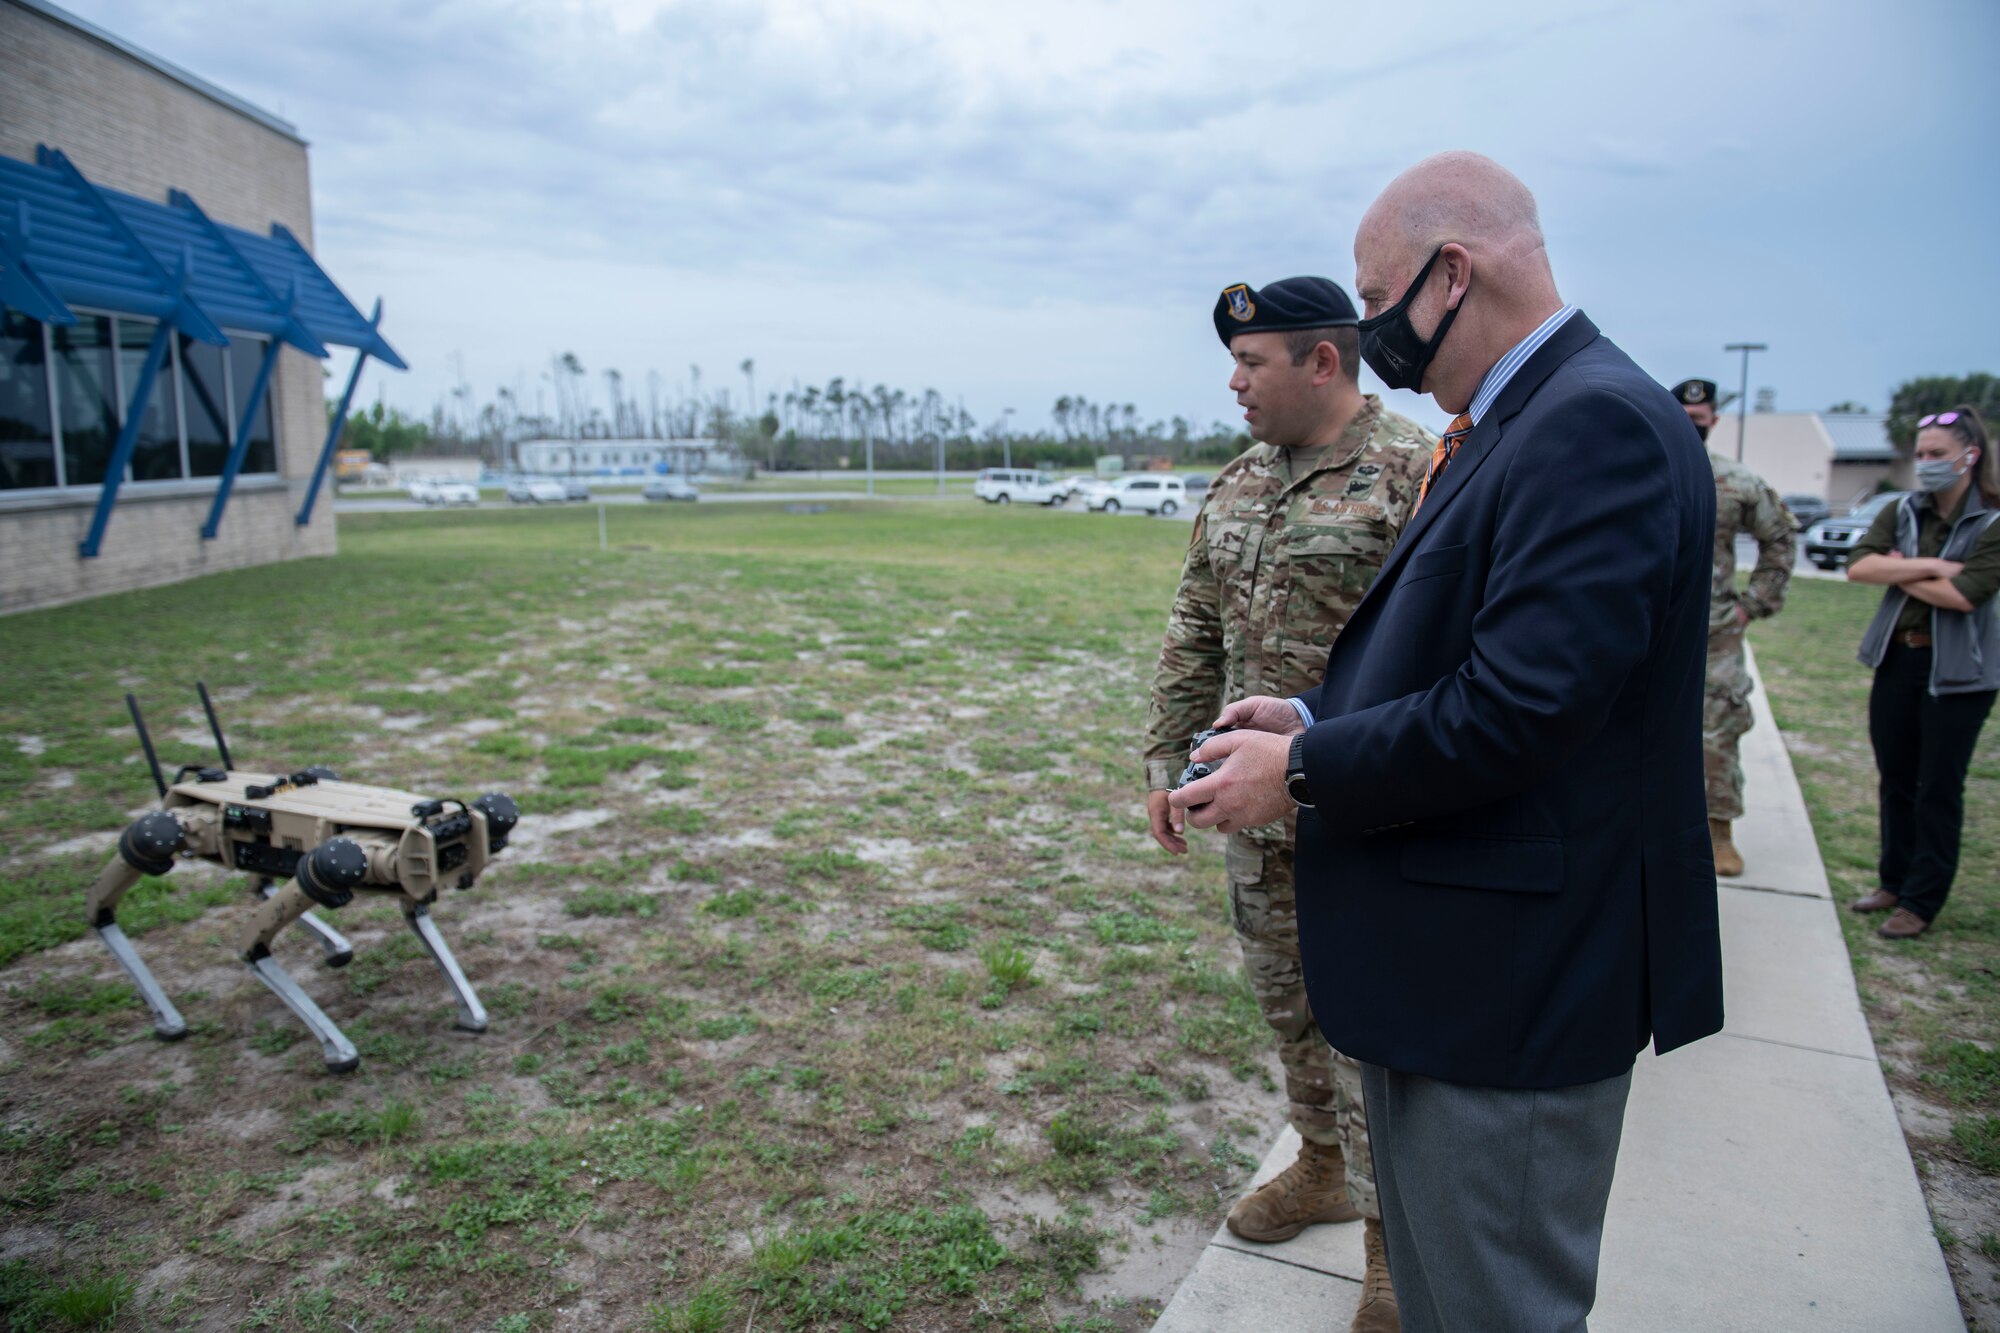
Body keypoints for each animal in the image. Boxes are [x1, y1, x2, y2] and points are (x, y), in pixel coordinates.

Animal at [89, 684, 520, 1072]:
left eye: (500, 815)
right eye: (340, 860)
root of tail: (186, 782)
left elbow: (418, 921)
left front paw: (470, 1013)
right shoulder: (327, 866)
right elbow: (252, 945)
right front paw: (339, 1051)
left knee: (258, 885)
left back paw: (332, 944)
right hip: (166, 834)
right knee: (104, 903)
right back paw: (166, 1015)